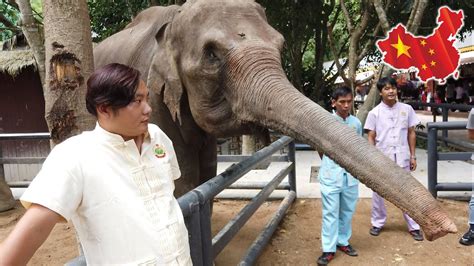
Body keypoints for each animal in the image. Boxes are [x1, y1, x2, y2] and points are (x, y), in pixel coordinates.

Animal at [93, 0, 456, 241]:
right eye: (211, 55)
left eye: (280, 45)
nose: (446, 230)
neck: (174, 17)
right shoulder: (150, 100)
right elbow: (180, 181)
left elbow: (204, 174)